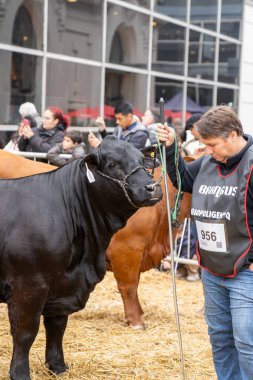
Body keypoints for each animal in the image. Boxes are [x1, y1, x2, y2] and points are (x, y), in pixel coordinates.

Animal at [0, 137, 162, 380]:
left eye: (143, 161)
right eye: (113, 164)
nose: (151, 187)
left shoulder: (63, 287)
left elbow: (57, 326)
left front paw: (57, 366)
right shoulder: (28, 285)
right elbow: (25, 332)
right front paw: (19, 373)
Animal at [0, 148, 191, 330]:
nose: (152, 188)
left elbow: (135, 284)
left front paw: (139, 312)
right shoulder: (127, 250)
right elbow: (129, 286)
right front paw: (135, 320)